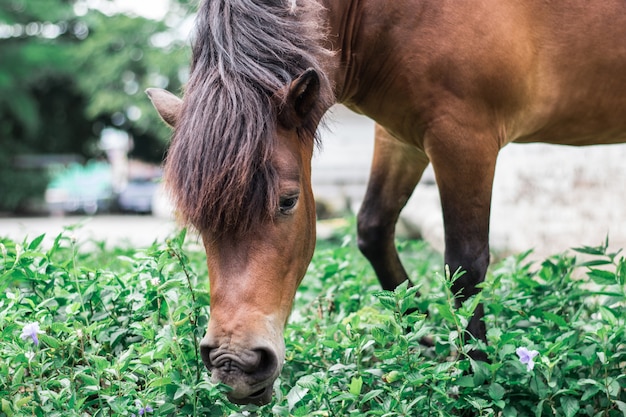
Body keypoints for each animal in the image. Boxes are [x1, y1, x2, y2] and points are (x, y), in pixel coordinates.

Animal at [146, 0, 624, 404]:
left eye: (288, 201)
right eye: (194, 220)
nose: (235, 366)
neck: (388, 12)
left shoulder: (465, 137)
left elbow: (465, 266)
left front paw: (475, 374)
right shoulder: (402, 137)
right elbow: (373, 230)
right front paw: (424, 333)